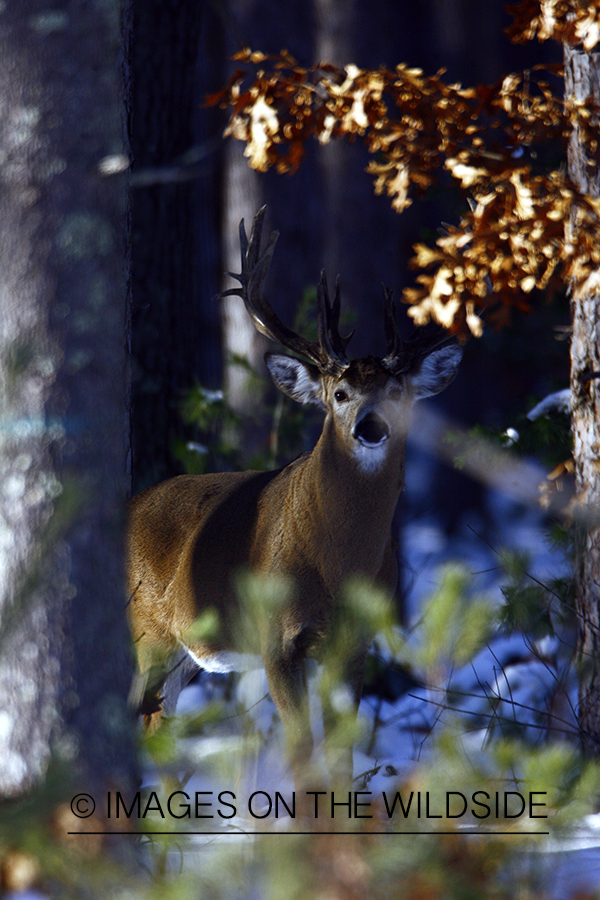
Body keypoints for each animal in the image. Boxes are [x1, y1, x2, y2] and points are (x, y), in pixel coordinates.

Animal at [129, 207, 462, 792]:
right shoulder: (274, 637)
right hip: (143, 631)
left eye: (398, 393)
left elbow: (342, 755)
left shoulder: (354, 642)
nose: (371, 427)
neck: (336, 563)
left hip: (183, 652)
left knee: (158, 731)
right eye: (340, 393)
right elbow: (302, 752)